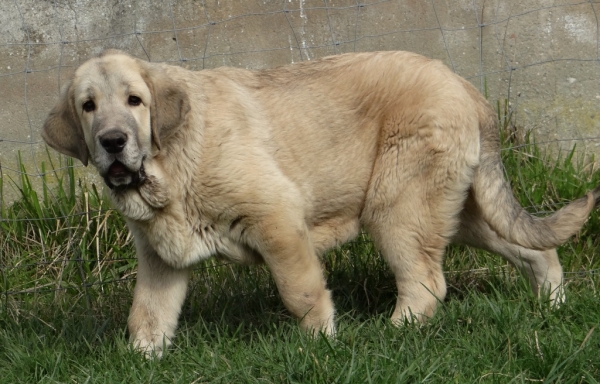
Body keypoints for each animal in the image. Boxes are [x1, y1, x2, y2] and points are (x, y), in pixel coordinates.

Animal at [42, 48, 600, 356]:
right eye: (88, 107)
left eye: (135, 101)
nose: (112, 141)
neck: (171, 162)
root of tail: (464, 85)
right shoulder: (161, 258)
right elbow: (148, 314)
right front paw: (141, 357)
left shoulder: (277, 221)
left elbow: (302, 292)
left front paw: (321, 344)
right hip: (456, 209)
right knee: (535, 248)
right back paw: (550, 302)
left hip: (398, 208)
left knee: (425, 282)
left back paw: (393, 334)